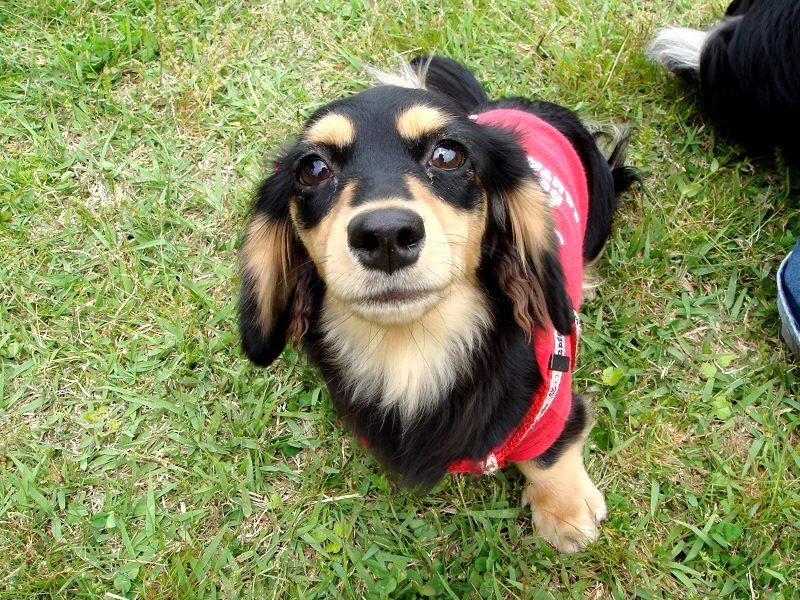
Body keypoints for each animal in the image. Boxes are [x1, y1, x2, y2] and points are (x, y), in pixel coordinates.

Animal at [238, 56, 637, 552]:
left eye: (448, 155)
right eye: (312, 168)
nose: (385, 235)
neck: (412, 351)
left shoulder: (552, 402)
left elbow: (549, 454)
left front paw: (565, 514)